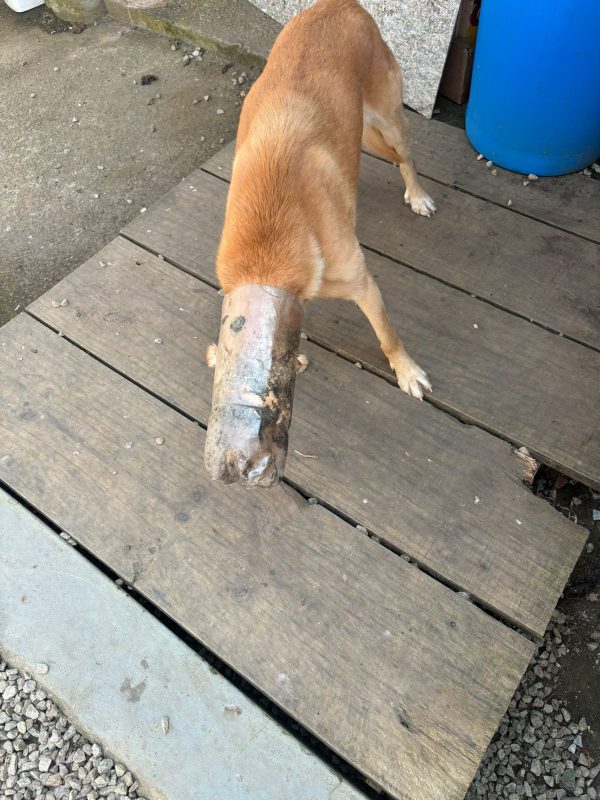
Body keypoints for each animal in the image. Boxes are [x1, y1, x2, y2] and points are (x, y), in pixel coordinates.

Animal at [204, 0, 434, 488]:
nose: (240, 469)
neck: (265, 255)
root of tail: (340, 4)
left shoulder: (364, 284)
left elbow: (388, 336)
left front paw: (407, 372)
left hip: (390, 119)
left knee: (407, 159)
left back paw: (418, 195)